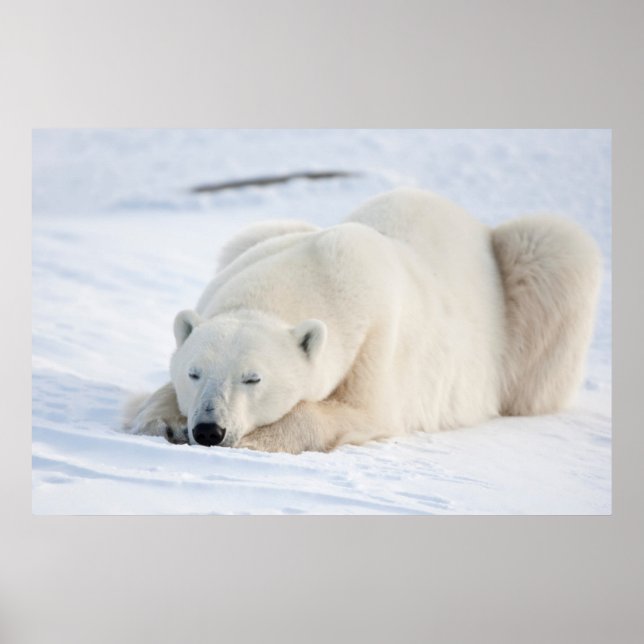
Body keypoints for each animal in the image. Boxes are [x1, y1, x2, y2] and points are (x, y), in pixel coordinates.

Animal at [123, 188, 601, 454]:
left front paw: (262, 438)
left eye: (252, 378)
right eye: (194, 372)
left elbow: (363, 411)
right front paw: (160, 419)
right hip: (262, 232)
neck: (321, 266)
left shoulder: (378, 340)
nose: (208, 429)